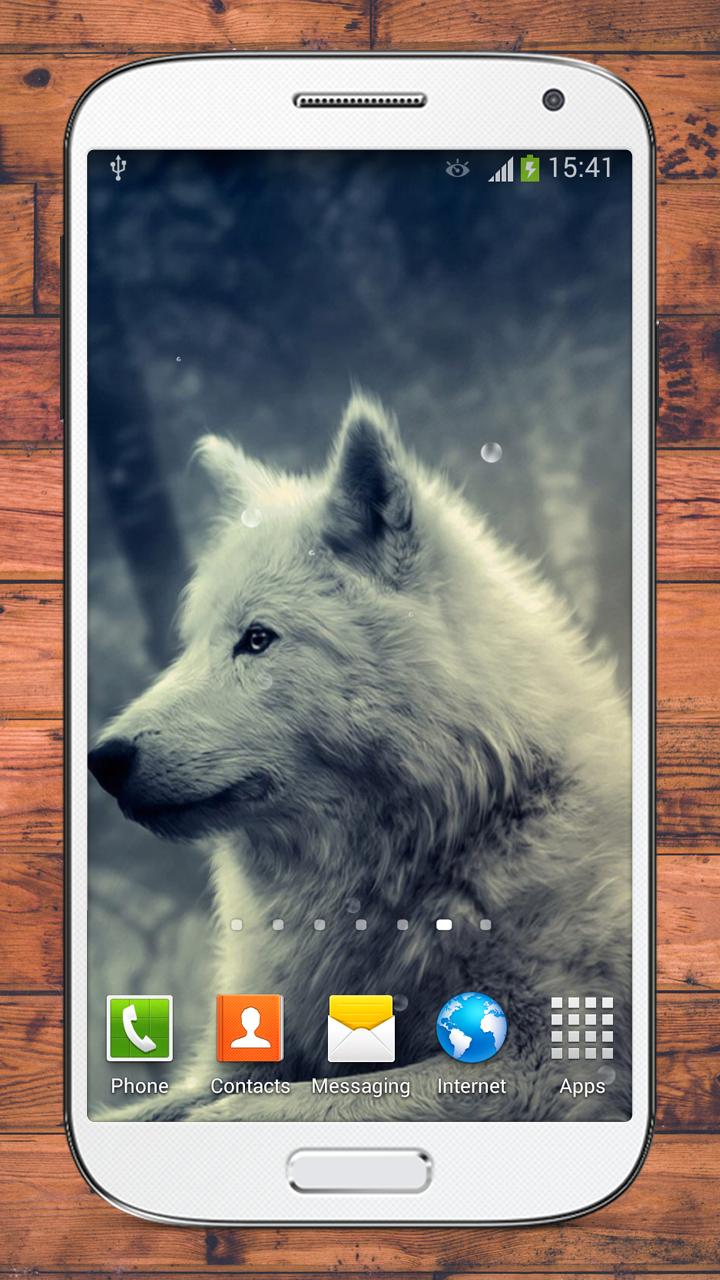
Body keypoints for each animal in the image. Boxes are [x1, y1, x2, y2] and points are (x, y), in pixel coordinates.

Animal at [89, 393, 631, 1121]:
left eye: (256, 639)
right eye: (193, 643)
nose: (103, 759)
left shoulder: (545, 1065)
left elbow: (263, 1109)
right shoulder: (245, 1054)